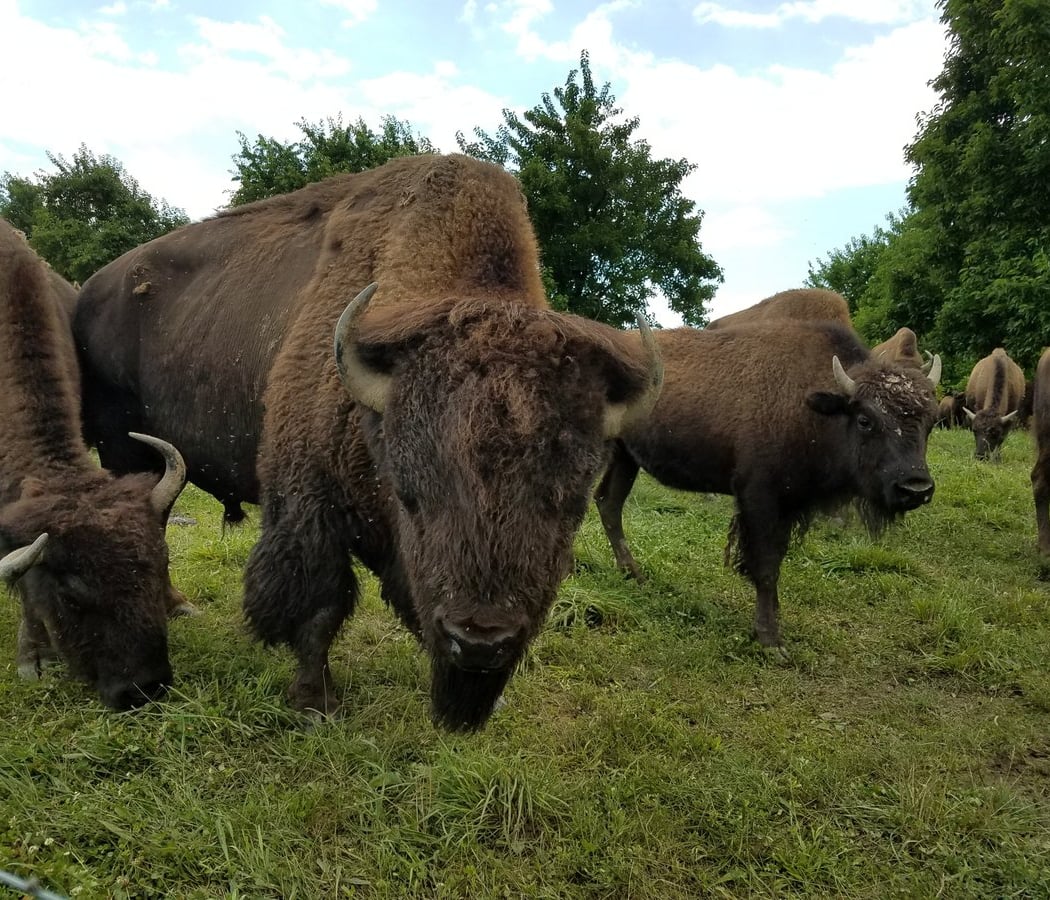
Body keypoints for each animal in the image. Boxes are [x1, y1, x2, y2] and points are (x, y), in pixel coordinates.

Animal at [74, 154, 663, 730]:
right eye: (410, 496)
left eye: (571, 509)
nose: (479, 642)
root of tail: (93, 290)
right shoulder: (309, 507)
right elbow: (321, 608)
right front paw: (316, 704)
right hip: (124, 449)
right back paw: (176, 605)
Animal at [595, 320, 941, 652]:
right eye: (865, 420)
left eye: (931, 422)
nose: (916, 488)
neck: (811, 408)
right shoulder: (759, 499)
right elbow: (765, 566)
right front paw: (770, 640)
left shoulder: (787, 505)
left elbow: (776, 559)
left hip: (626, 458)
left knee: (609, 503)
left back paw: (634, 574)